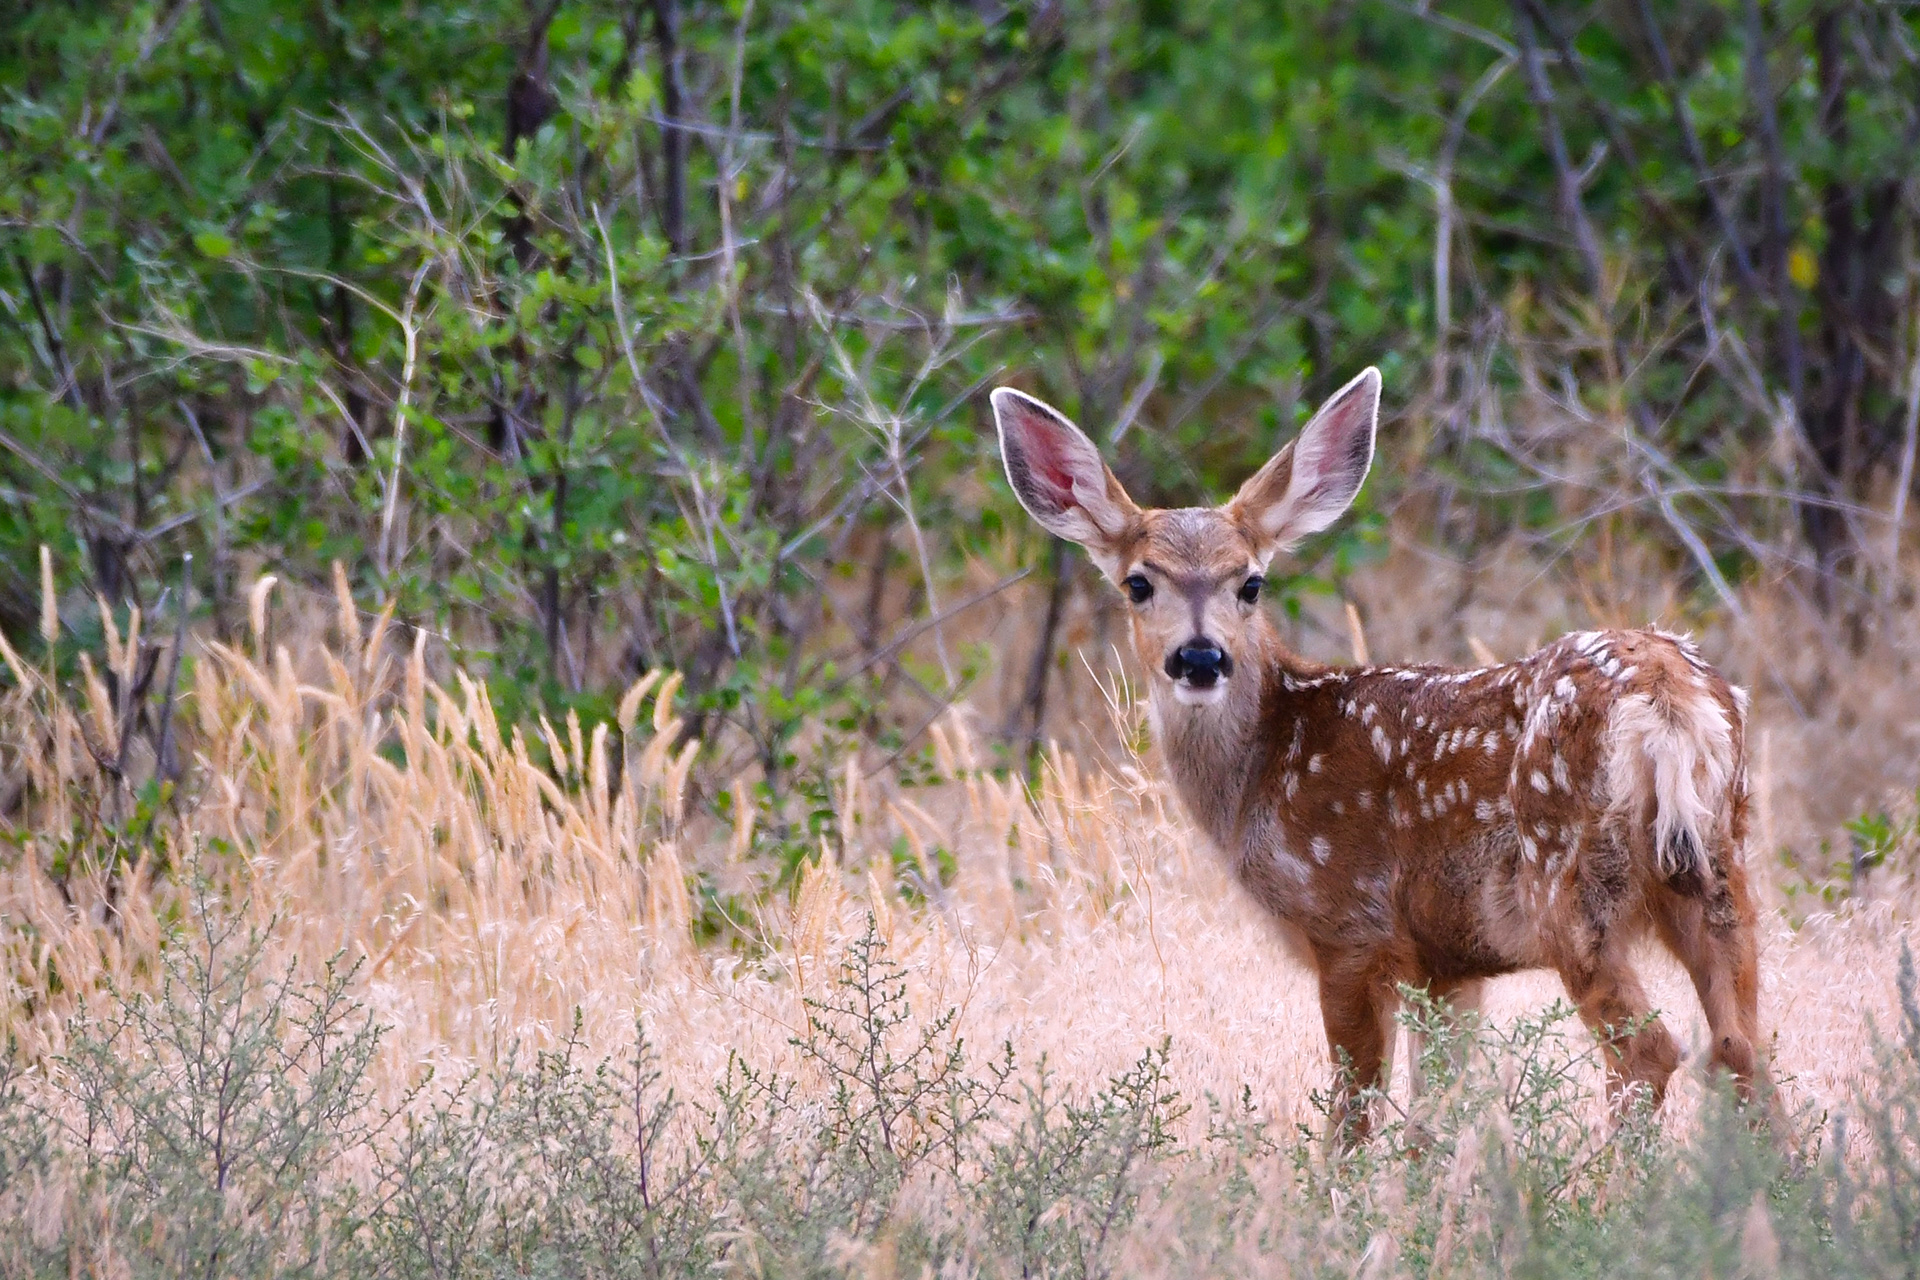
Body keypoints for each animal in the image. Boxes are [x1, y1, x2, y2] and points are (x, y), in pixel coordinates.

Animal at [990, 368, 1769, 1142]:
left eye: (1251, 582)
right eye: (1138, 583)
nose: (1201, 658)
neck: (1262, 771)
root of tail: (1669, 698)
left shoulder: (1348, 927)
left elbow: (1355, 1112)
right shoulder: (1449, 964)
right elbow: (1438, 1113)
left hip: (1569, 879)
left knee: (1651, 1050)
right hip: (1720, 865)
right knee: (1742, 1048)